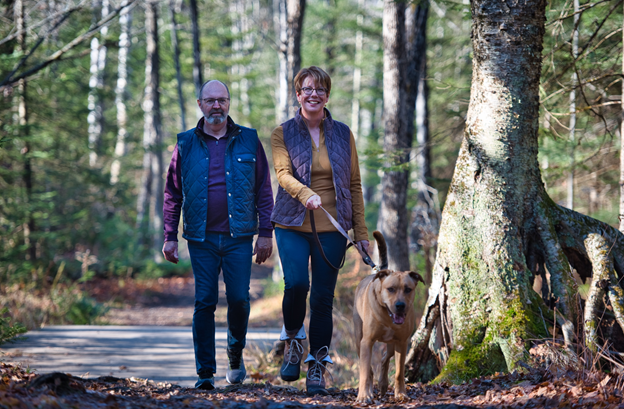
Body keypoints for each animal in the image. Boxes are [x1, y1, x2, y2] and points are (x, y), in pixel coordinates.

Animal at [354, 230, 426, 402]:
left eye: (408, 289)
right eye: (391, 289)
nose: (400, 305)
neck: (387, 316)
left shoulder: (402, 342)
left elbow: (399, 372)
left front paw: (400, 394)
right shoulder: (366, 341)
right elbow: (365, 372)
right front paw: (363, 396)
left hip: (393, 343)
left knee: (384, 359)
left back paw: (383, 384)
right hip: (358, 338)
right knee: (370, 366)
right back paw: (372, 389)